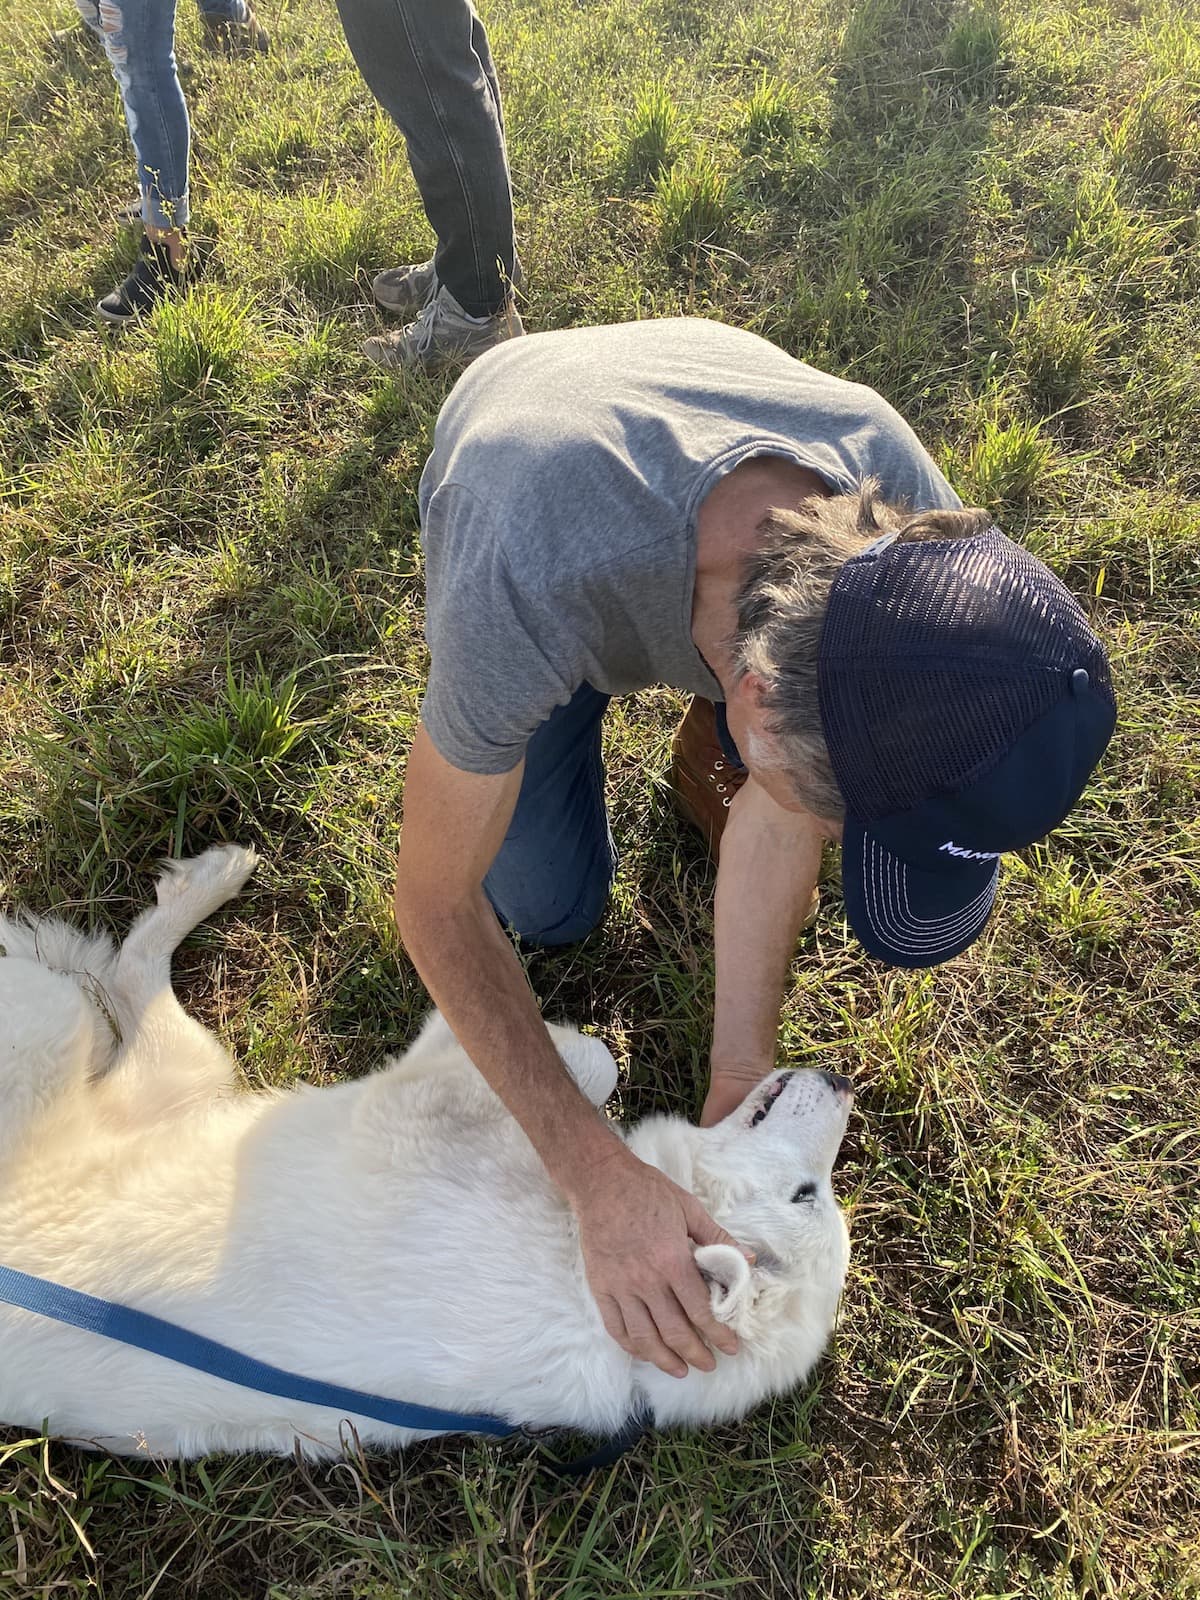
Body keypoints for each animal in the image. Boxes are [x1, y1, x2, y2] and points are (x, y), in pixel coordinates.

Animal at [0, 851, 857, 1465]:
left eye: (807, 1194)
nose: (843, 1078)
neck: (579, 1280)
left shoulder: (409, 1099)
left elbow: (576, 1057)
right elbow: (596, 1063)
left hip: (124, 1048)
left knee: (117, 978)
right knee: (125, 976)